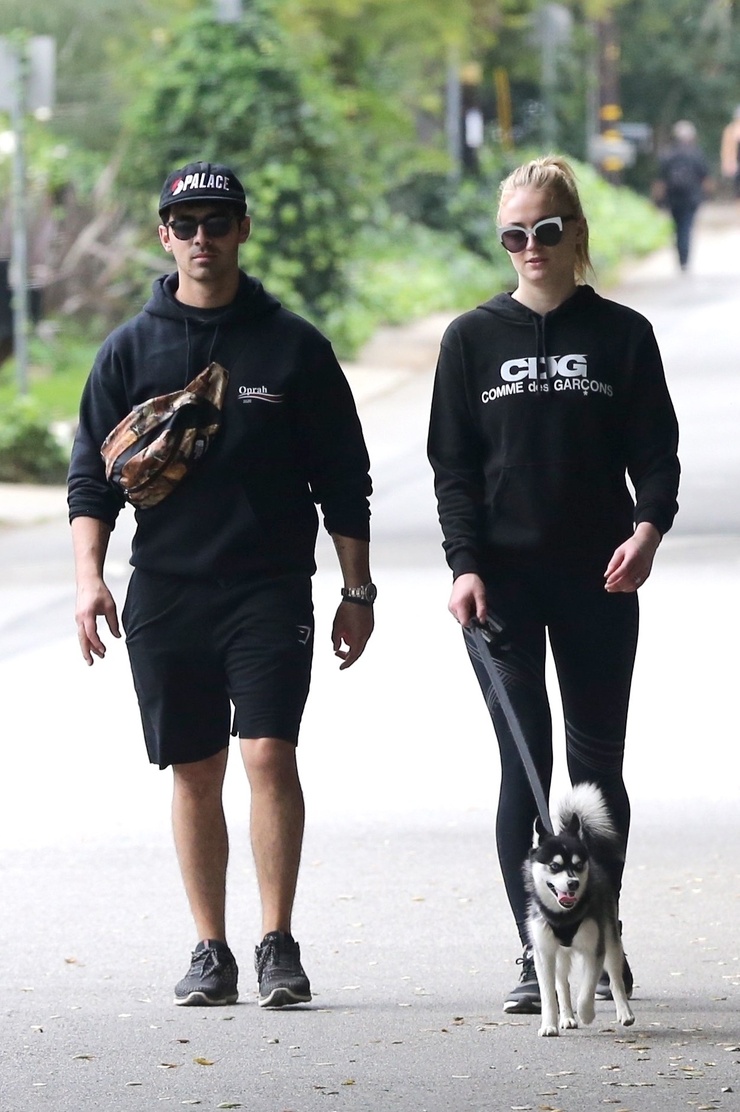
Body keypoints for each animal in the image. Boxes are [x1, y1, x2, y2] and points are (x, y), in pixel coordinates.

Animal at [524, 782, 635, 1037]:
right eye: (554, 866)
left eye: (578, 865)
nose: (573, 883)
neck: (563, 917)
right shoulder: (544, 953)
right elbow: (548, 994)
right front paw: (549, 1024)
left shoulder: (595, 950)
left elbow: (586, 989)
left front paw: (586, 1013)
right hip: (560, 953)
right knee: (562, 983)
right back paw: (566, 1017)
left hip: (611, 941)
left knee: (615, 979)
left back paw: (625, 1013)